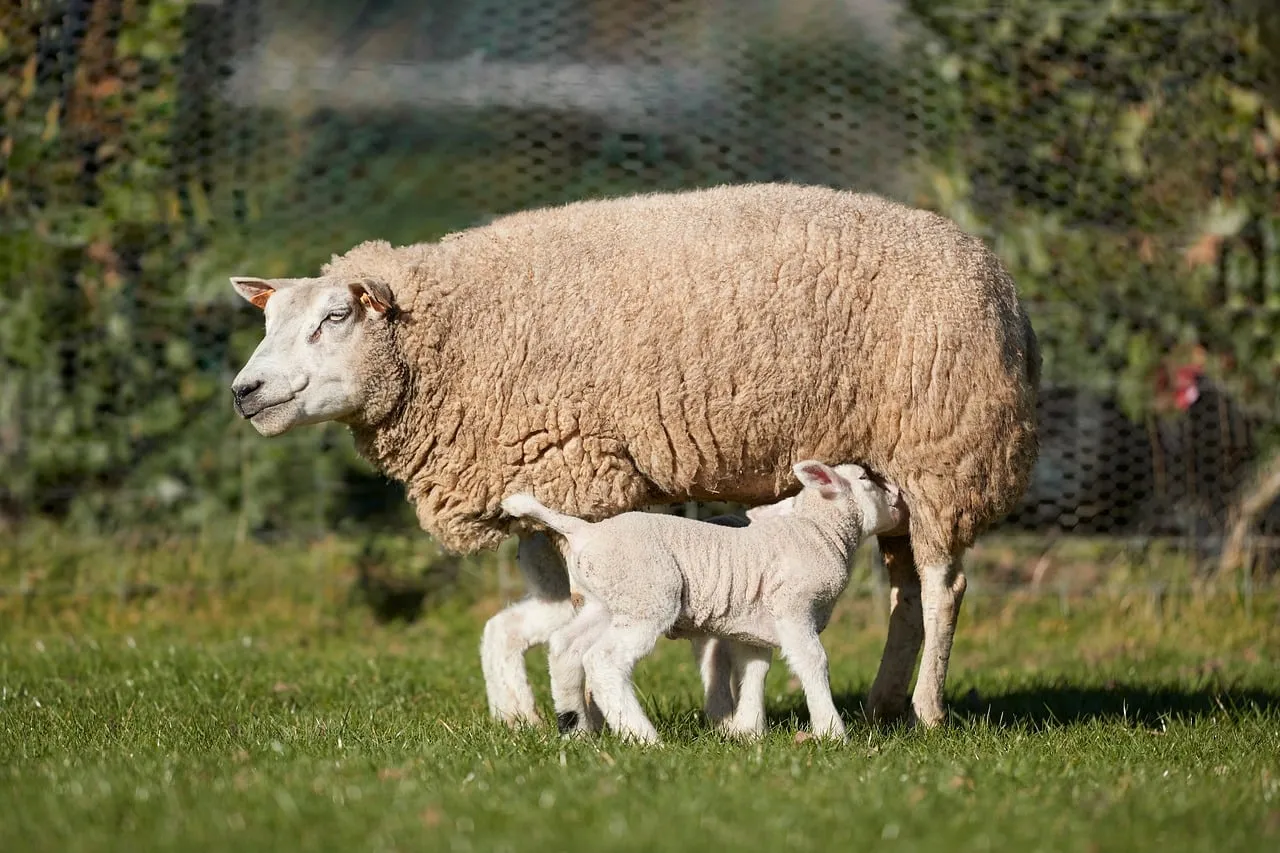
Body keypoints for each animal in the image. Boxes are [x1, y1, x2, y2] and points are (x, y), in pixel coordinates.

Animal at [501, 461, 903, 744]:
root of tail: (585, 531)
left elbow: (754, 671)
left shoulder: (751, 626)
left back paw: (575, 729)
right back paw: (644, 738)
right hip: (647, 597)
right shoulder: (793, 608)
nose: (899, 497)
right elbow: (813, 662)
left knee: (565, 647)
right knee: (604, 660)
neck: (818, 532)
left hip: (607, 601)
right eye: (865, 478)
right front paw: (832, 732)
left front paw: (747, 731)